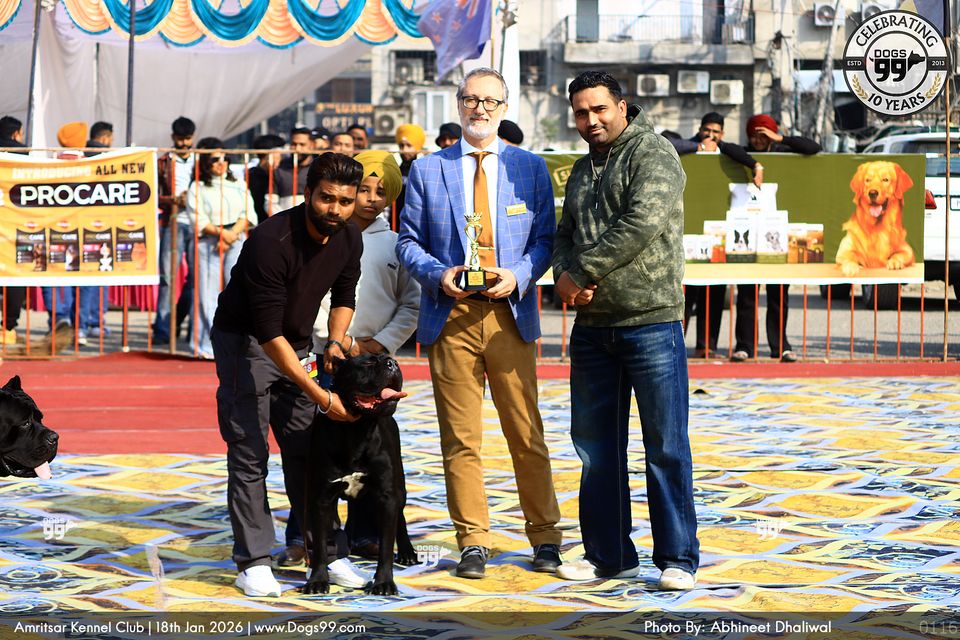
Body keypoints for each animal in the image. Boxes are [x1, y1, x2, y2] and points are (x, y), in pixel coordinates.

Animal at [302, 353, 417, 596]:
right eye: (367, 363)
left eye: (389, 360)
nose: (393, 363)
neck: (358, 430)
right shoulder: (321, 498)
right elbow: (321, 545)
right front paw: (317, 580)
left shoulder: (387, 496)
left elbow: (385, 546)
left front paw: (384, 583)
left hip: (399, 487)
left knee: (400, 516)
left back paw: (407, 552)